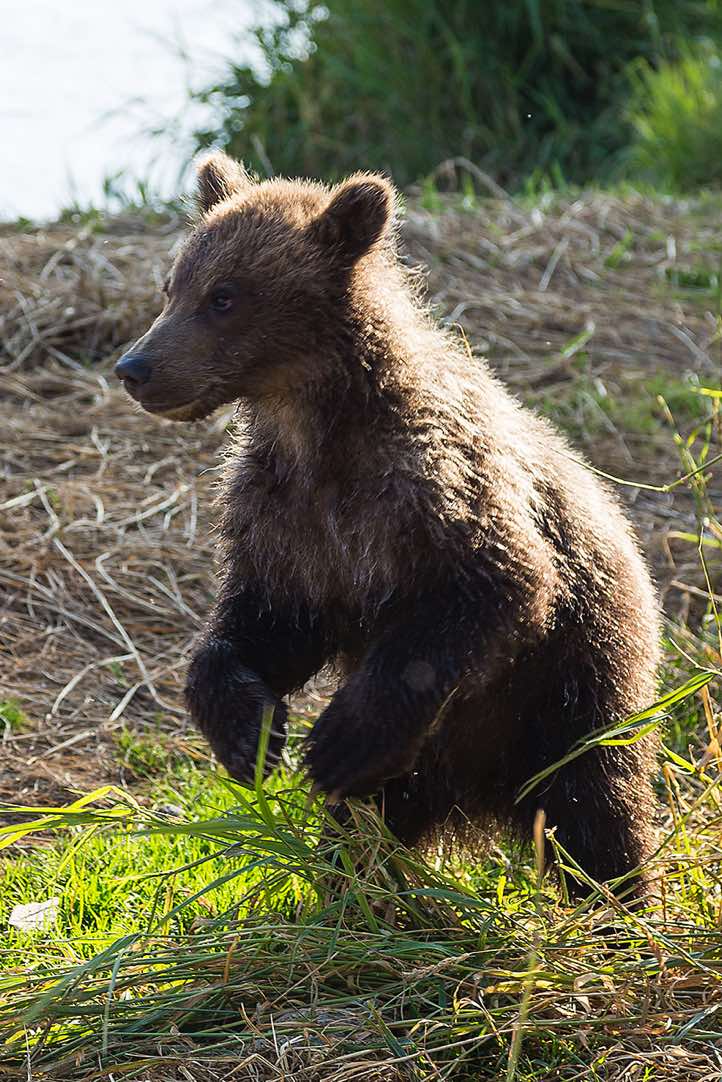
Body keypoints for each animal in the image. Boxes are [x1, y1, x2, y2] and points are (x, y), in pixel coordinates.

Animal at [115, 151, 661, 893]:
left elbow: (490, 588)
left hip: (568, 693)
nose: (135, 367)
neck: (315, 428)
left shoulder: (435, 489)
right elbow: (264, 623)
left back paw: (617, 901)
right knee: (362, 825)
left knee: (595, 810)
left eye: (223, 296)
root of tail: (482, 802)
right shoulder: (282, 520)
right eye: (171, 286)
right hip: (428, 769)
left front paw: (335, 741)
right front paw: (249, 732)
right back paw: (352, 890)